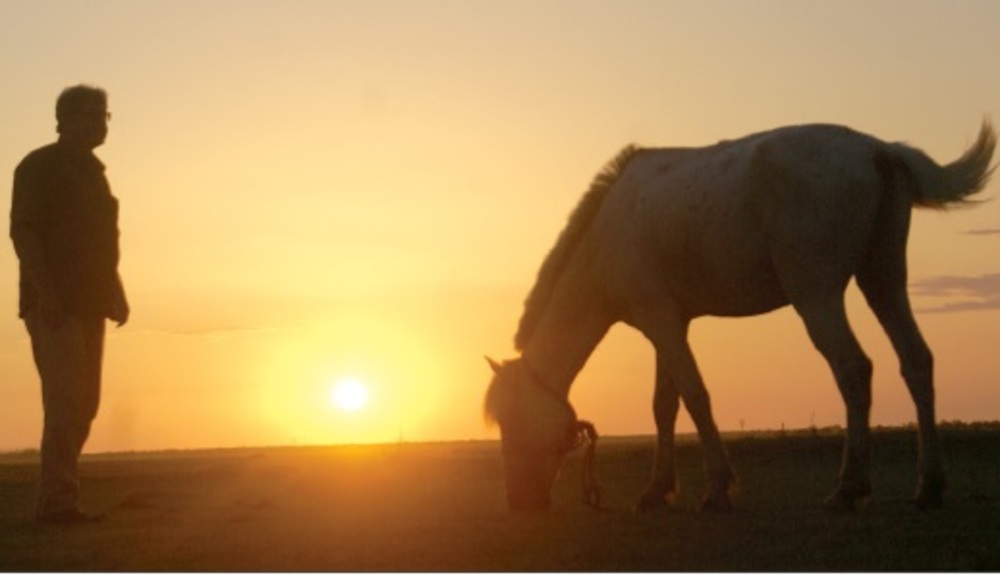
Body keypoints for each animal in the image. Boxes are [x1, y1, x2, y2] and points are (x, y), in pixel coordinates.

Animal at [482, 121, 992, 512]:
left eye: (511, 420)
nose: (518, 502)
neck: (605, 234)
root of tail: (878, 151)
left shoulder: (662, 323)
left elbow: (695, 396)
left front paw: (717, 489)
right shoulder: (667, 325)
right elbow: (664, 406)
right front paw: (657, 491)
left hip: (817, 295)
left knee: (853, 369)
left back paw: (848, 489)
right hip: (883, 282)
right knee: (916, 362)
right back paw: (929, 487)